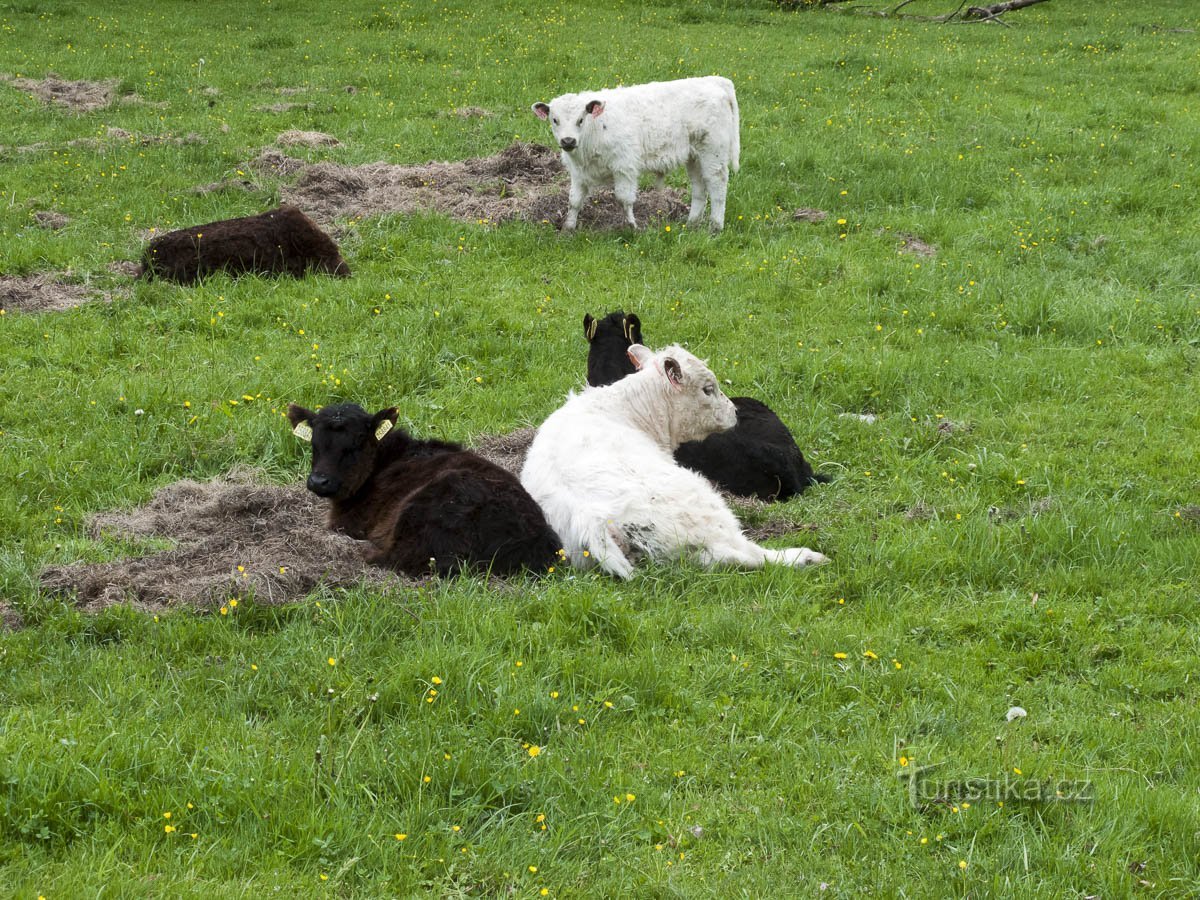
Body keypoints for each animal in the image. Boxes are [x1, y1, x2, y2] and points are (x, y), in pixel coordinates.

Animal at [520, 340, 830, 580]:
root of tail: (591, 521)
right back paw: (804, 557)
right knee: (744, 554)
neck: (628, 411)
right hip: (705, 508)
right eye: (707, 389)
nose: (734, 413)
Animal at [535, 76, 739, 232]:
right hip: (694, 157)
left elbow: (624, 198)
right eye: (555, 120)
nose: (568, 141)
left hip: (713, 152)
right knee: (699, 187)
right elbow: (574, 201)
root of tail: (714, 80)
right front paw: (568, 228)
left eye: (580, 119)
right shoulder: (578, 173)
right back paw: (692, 223)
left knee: (717, 185)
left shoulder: (624, 167)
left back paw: (715, 227)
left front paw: (632, 226)